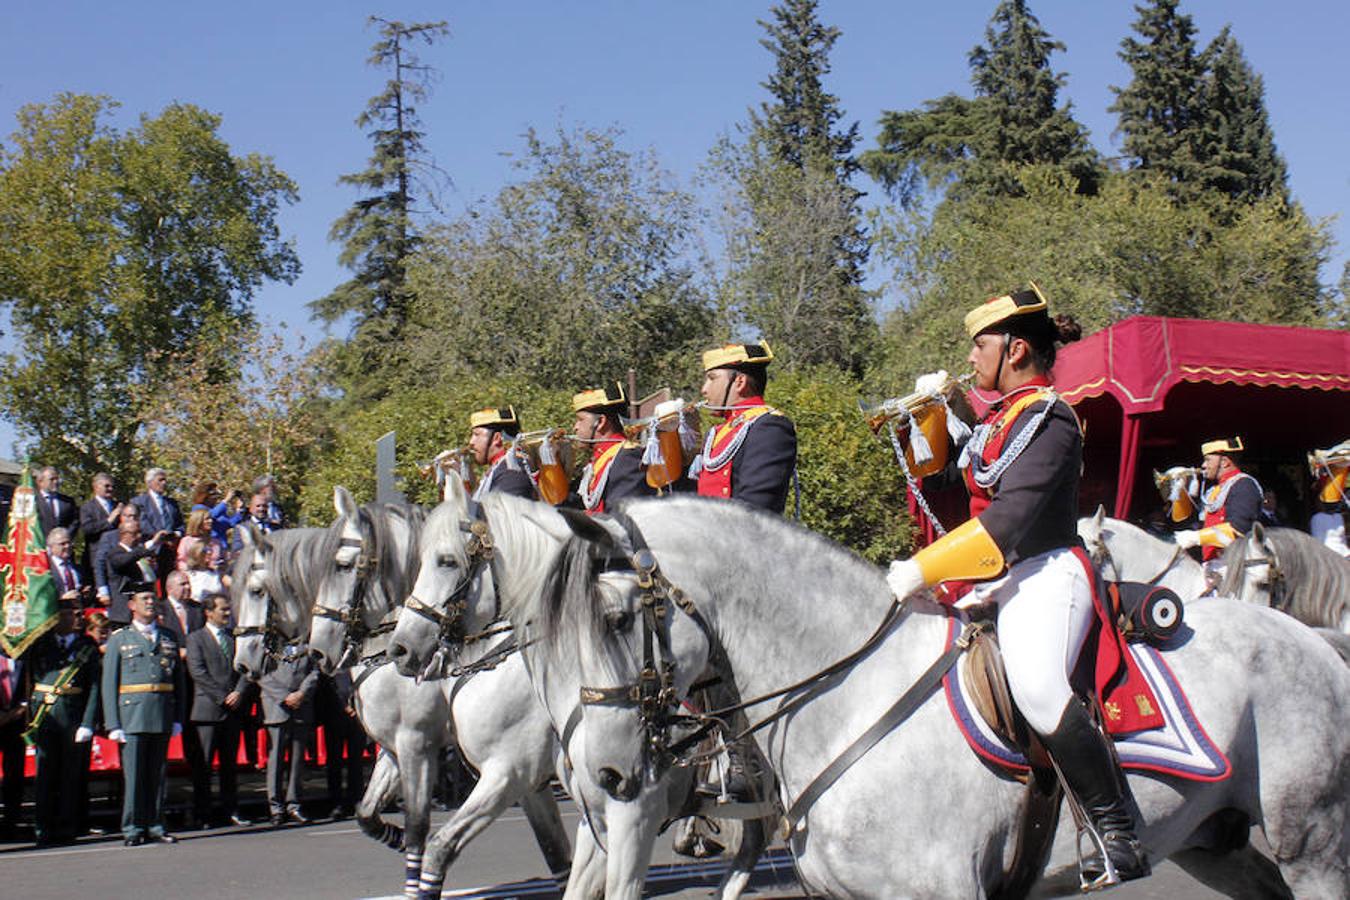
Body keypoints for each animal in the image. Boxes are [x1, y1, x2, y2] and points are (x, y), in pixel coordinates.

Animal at [540, 499, 1350, 900]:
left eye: (617, 617)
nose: (603, 775)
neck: (848, 697)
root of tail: (1310, 640)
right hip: (1216, 843)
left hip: (1314, 845)